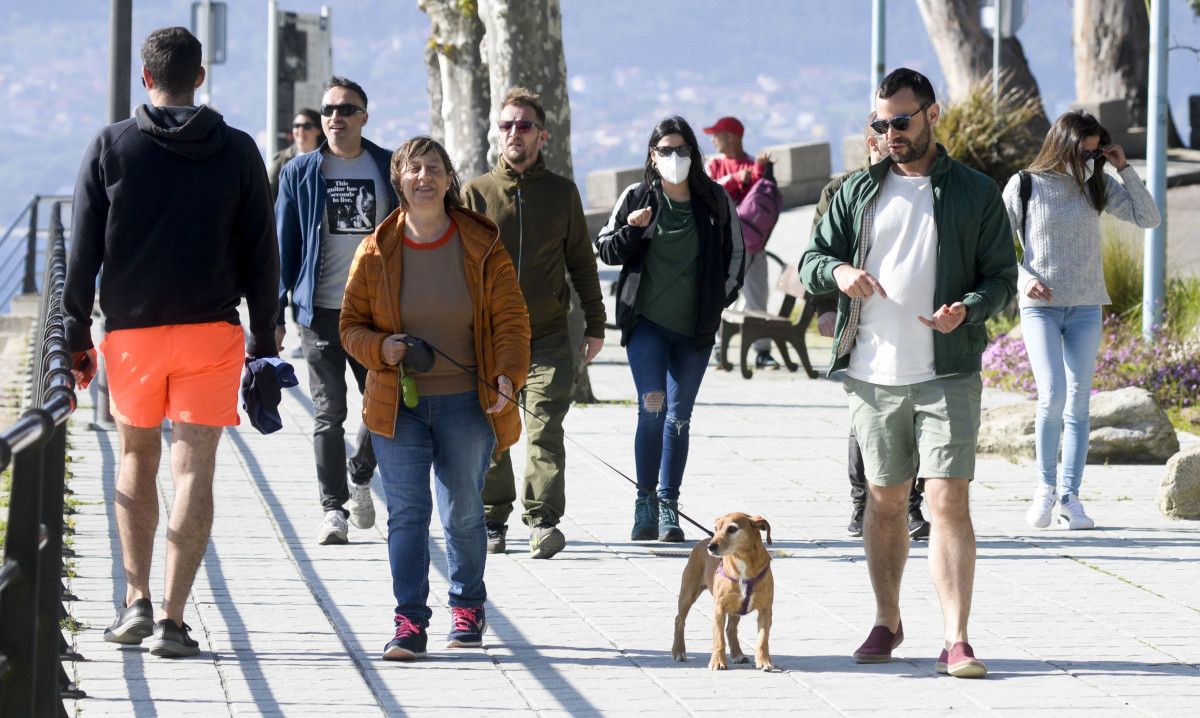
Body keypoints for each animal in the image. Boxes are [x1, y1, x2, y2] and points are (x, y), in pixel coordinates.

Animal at [667, 513, 777, 672]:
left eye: (732, 529)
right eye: (716, 528)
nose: (711, 546)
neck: (742, 562)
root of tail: (703, 541)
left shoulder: (765, 611)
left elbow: (762, 639)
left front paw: (763, 661)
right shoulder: (719, 608)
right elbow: (719, 638)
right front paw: (718, 661)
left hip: (736, 608)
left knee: (731, 628)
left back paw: (738, 654)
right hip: (687, 594)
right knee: (679, 620)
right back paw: (678, 650)